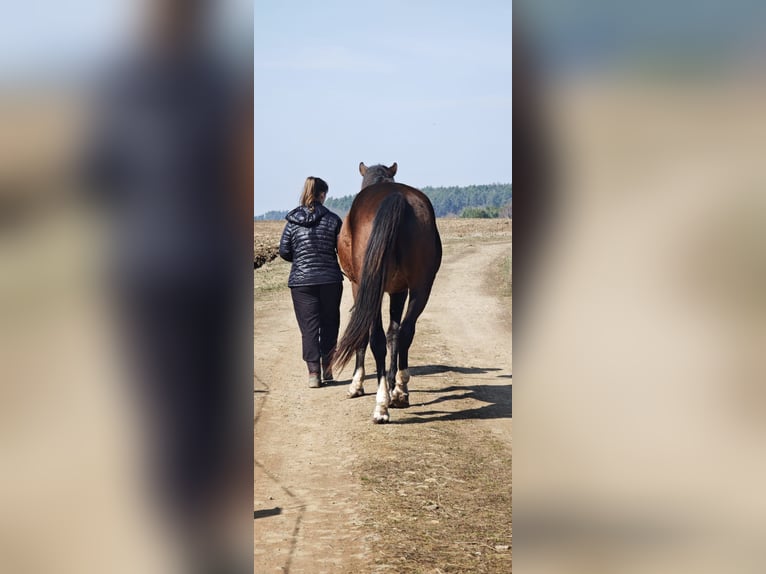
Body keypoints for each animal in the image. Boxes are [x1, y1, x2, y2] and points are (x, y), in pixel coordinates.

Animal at [331, 162, 442, 423]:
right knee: (405, 332)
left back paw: (381, 405)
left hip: (372, 288)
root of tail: (397, 197)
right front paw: (395, 388)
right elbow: (395, 332)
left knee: (377, 339)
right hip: (422, 287)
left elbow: (364, 335)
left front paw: (357, 384)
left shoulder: (358, 287)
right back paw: (400, 391)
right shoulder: (399, 290)